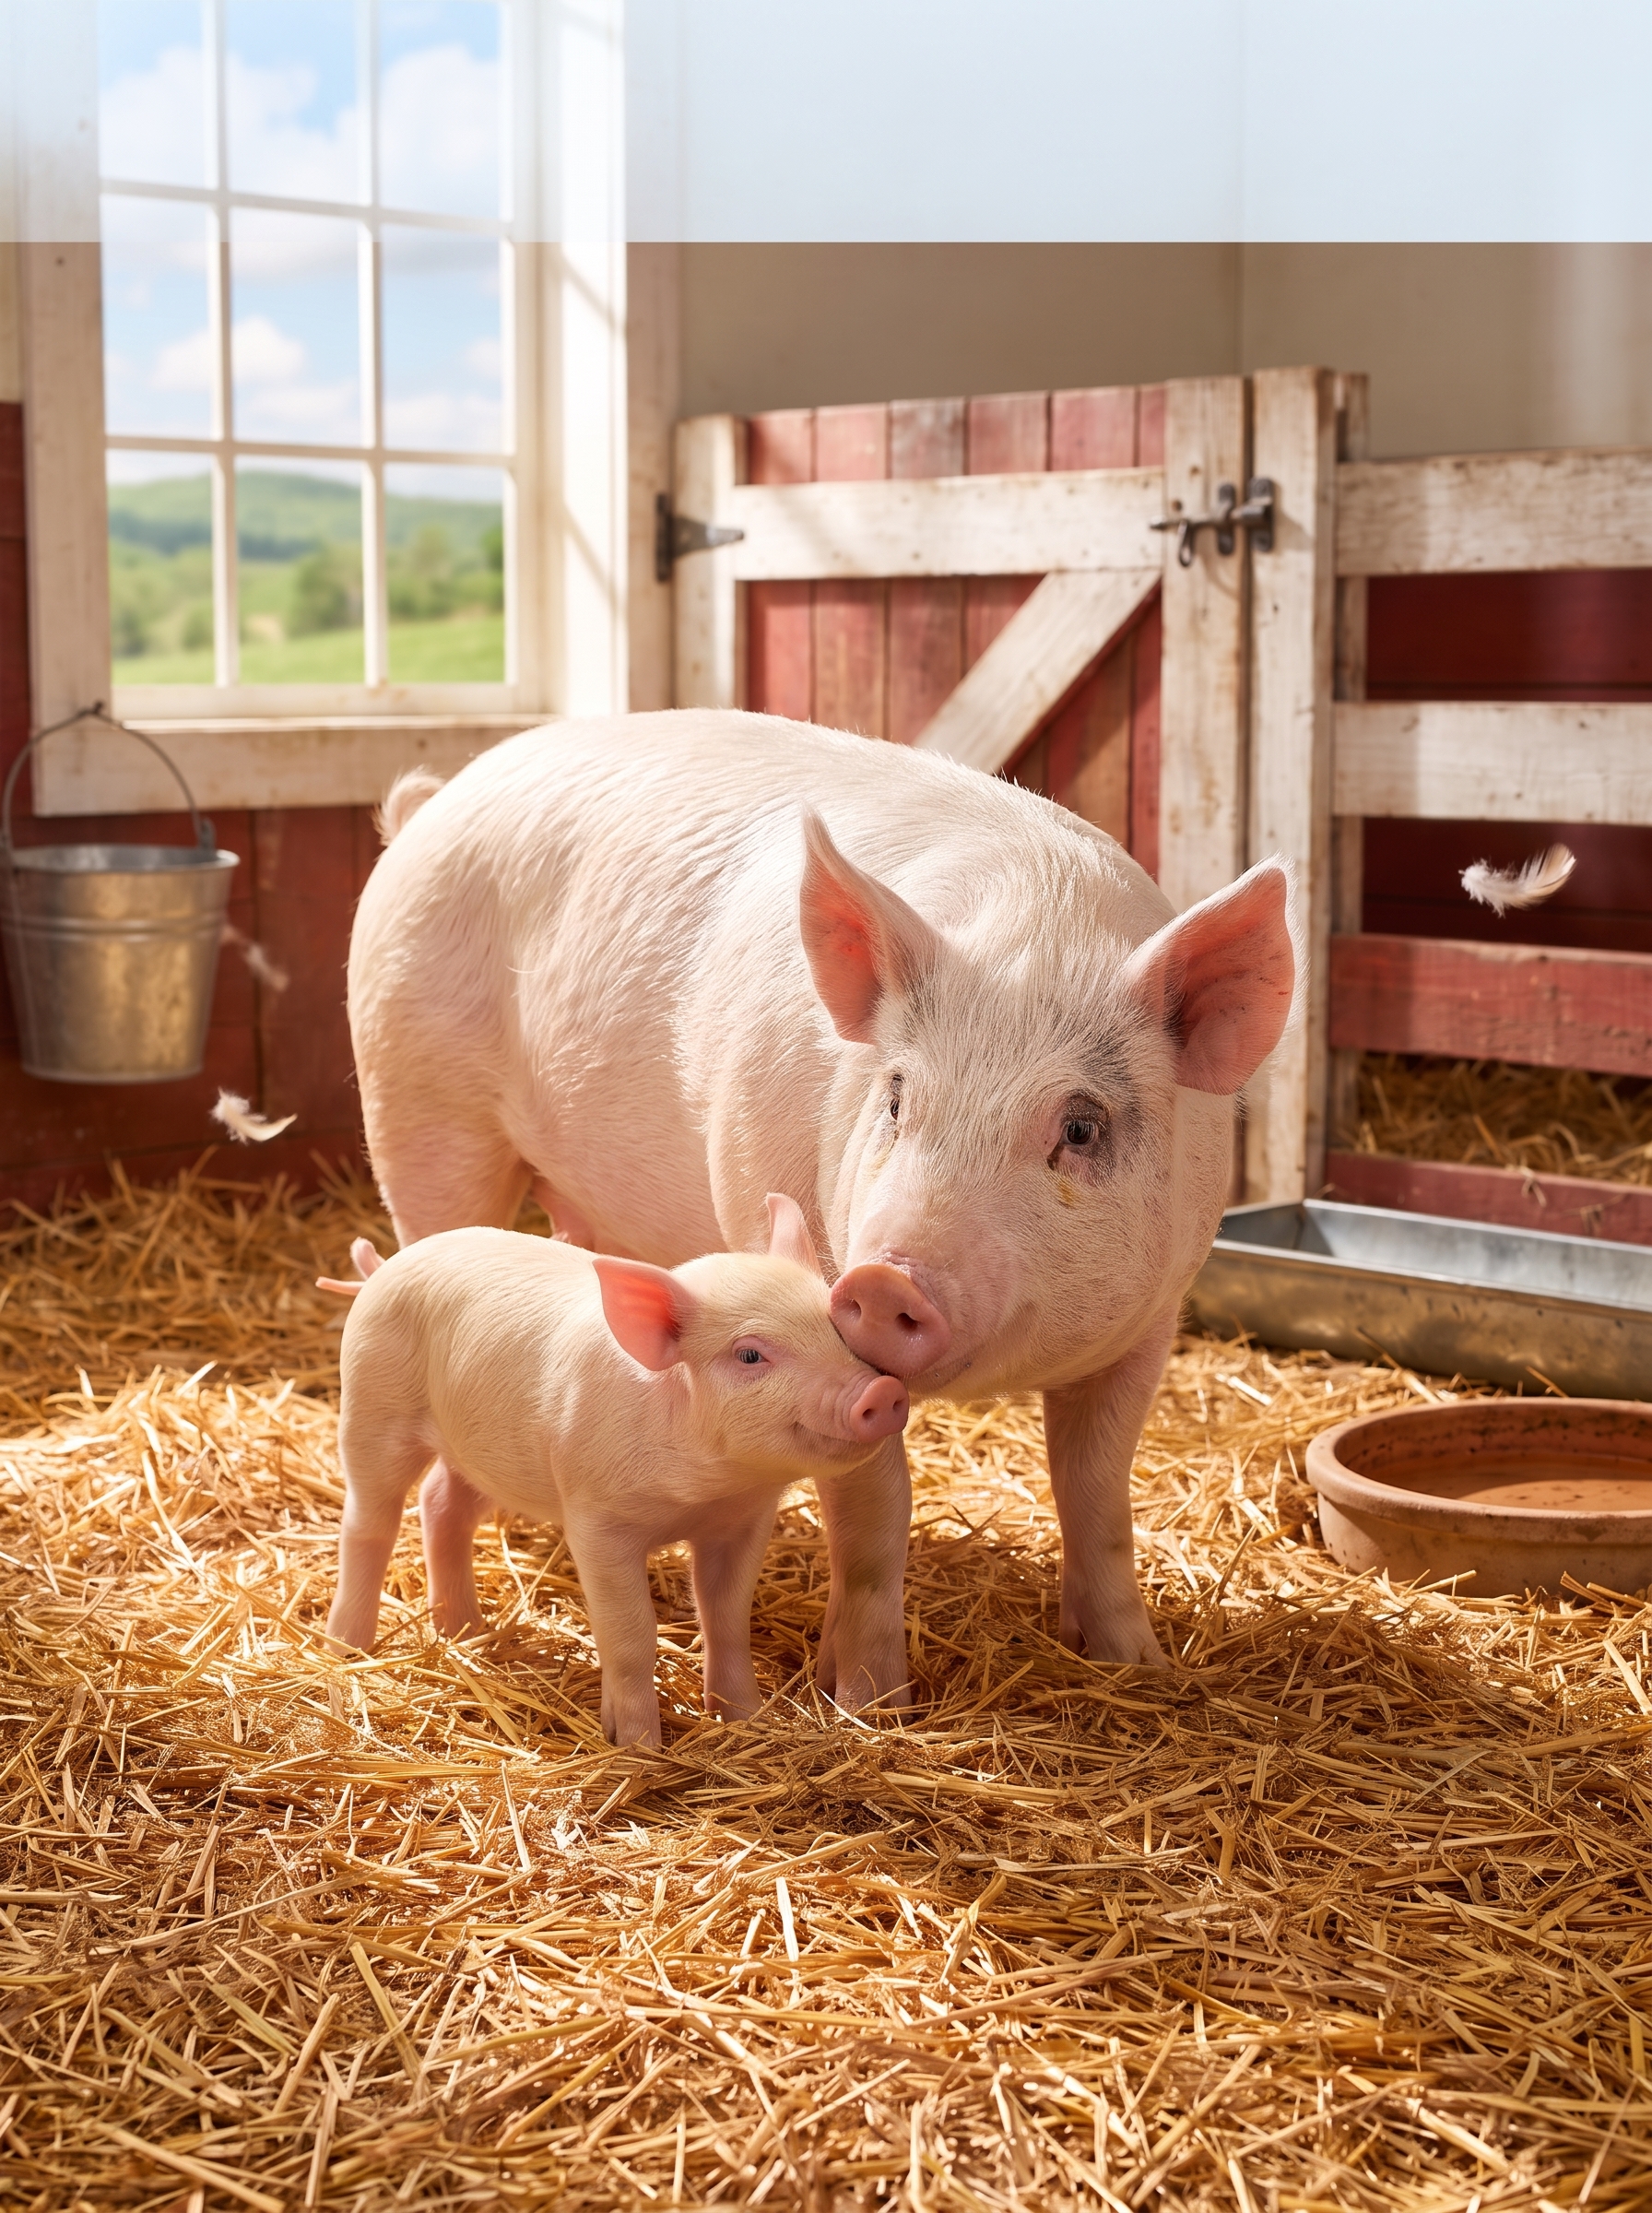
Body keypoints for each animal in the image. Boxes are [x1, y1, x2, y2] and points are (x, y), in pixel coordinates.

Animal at [322, 1194, 909, 1746]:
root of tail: (385, 1267)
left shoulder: (741, 1522)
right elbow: (630, 1635)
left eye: (837, 1329)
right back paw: (348, 1645)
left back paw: (466, 1632)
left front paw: (746, 1718)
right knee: (368, 1521)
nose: (881, 1391)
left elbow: (726, 1618)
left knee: (441, 1504)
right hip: (373, 1405)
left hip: (481, 1453)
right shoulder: (597, 1521)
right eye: (749, 1355)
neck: (702, 1492)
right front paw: (638, 1745)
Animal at [348, 710, 1296, 1710]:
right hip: (416, 1109)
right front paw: (872, 1704)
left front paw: (1136, 1668)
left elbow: (1098, 1492)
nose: (882, 1280)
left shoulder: (1155, 1315)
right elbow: (873, 1515)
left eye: (1079, 1127)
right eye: (897, 1095)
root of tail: (429, 807)